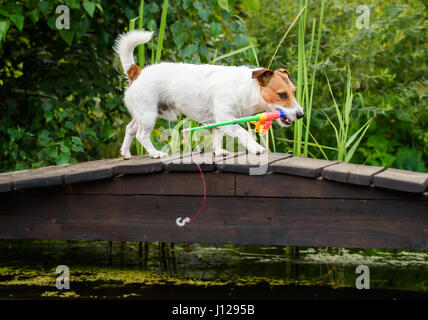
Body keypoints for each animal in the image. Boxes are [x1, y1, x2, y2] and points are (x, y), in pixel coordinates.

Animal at [113, 30, 302, 158]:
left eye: (294, 92)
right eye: (282, 95)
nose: (300, 114)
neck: (245, 88)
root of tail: (137, 72)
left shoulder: (218, 122)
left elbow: (216, 137)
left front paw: (218, 152)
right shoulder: (226, 118)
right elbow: (243, 133)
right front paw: (256, 147)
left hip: (141, 114)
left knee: (130, 129)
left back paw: (125, 153)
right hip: (148, 115)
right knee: (141, 135)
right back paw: (155, 153)